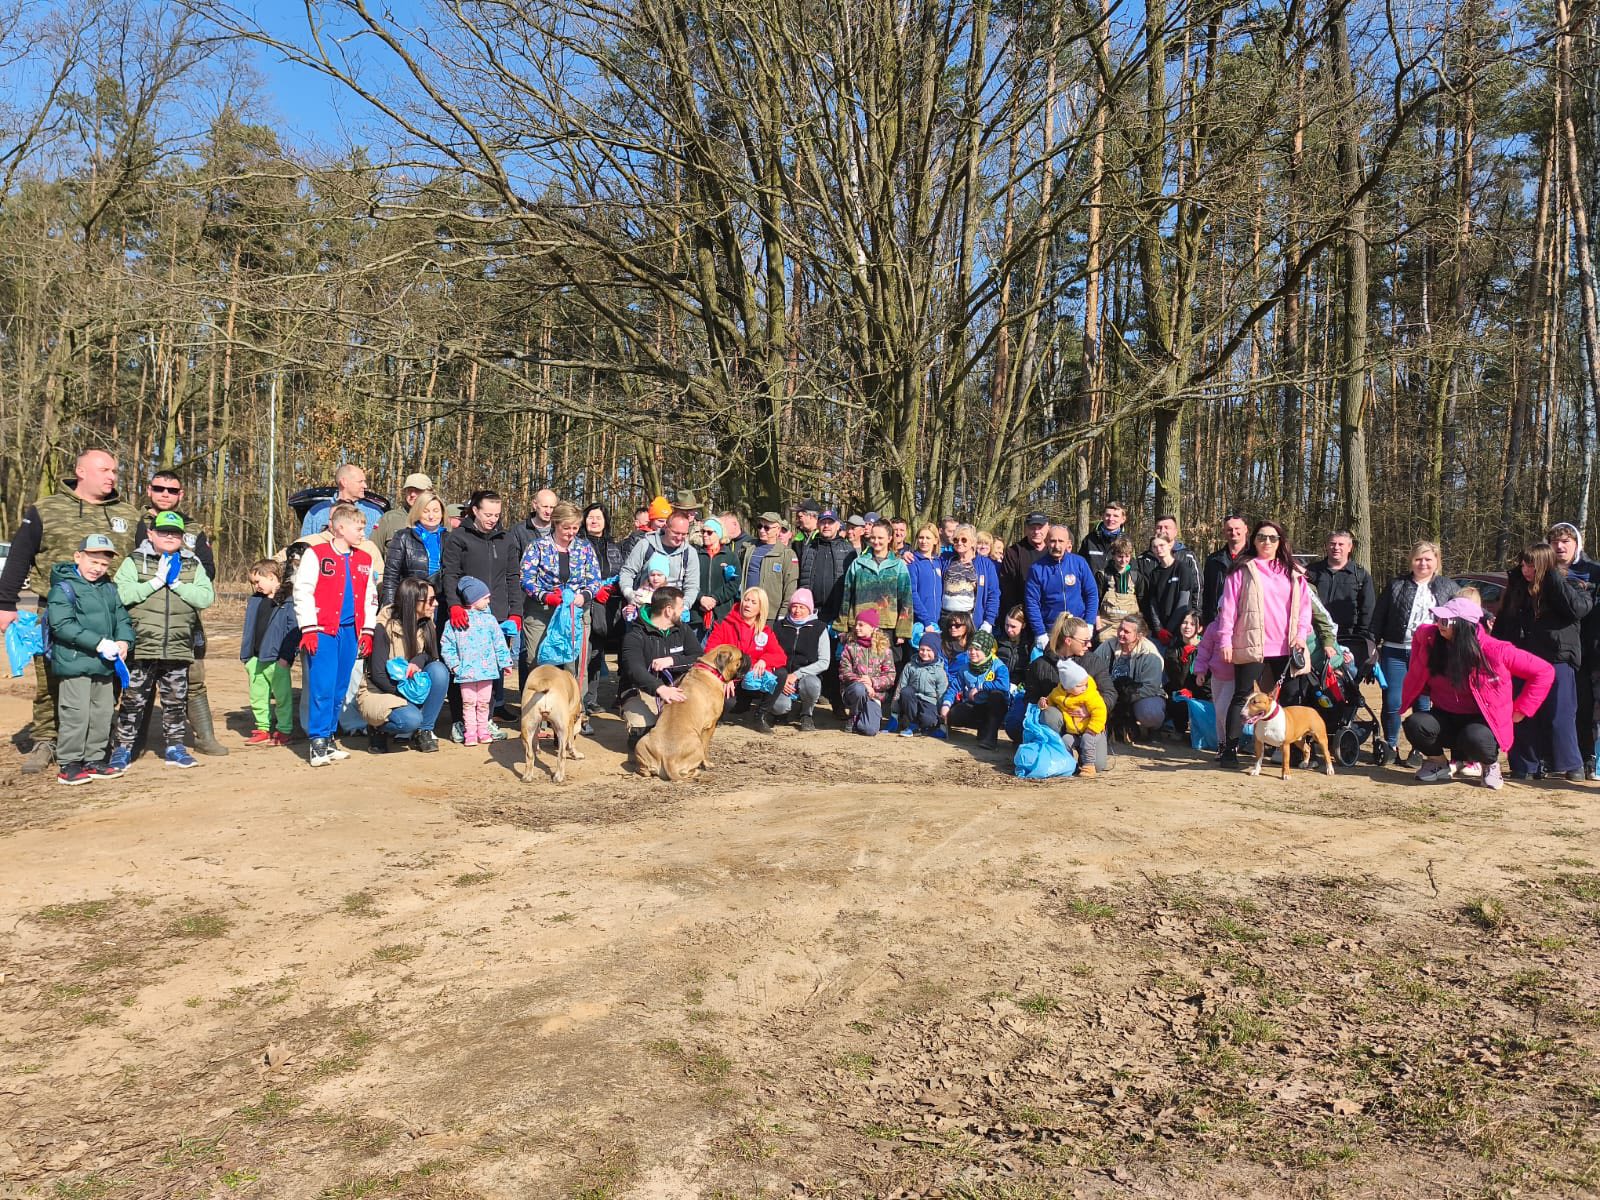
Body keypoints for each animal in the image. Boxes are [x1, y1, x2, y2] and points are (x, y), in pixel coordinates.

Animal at [633, 643, 746, 781]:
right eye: (741, 657)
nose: (749, 657)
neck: (711, 668)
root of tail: (668, 758)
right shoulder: (710, 726)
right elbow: (706, 748)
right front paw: (707, 764)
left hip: (642, 743)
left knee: (645, 771)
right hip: (697, 745)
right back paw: (697, 771)